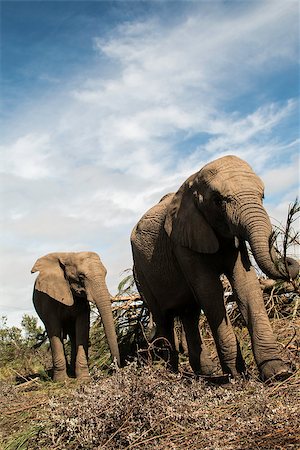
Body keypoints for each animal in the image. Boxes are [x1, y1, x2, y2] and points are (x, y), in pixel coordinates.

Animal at [30, 251, 119, 382]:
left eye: (106, 274)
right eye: (81, 277)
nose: (115, 369)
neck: (68, 255)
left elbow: (82, 327)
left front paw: (84, 379)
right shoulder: (49, 300)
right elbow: (54, 329)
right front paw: (61, 381)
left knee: (72, 334)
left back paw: (72, 371)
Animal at [132, 156, 300, 382]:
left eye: (263, 196)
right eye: (219, 200)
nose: (288, 260)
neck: (192, 180)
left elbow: (246, 285)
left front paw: (278, 372)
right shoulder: (182, 242)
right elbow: (210, 291)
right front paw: (236, 375)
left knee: (190, 314)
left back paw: (206, 373)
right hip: (141, 274)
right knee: (163, 317)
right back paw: (172, 374)